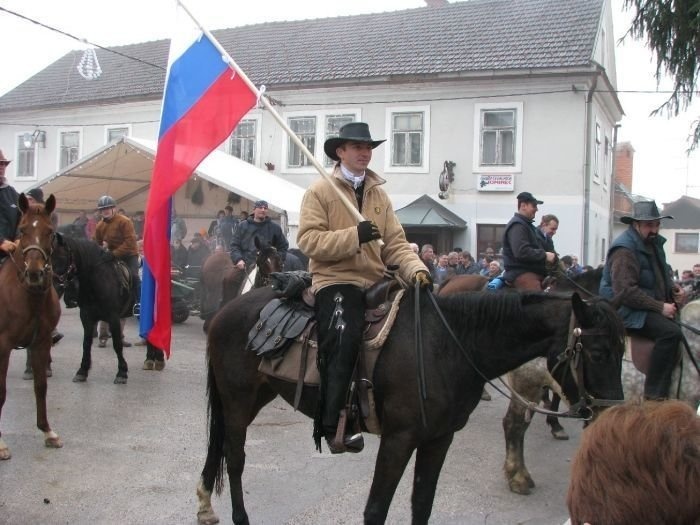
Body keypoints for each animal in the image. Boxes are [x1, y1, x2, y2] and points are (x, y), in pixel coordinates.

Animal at [193, 286, 624, 524]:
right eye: (598, 352)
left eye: (623, 350)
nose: (610, 411)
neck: (448, 346)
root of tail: (225, 311)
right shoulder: (399, 439)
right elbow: (375, 509)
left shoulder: (438, 439)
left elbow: (421, 504)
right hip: (237, 401)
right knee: (235, 459)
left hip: (254, 398)